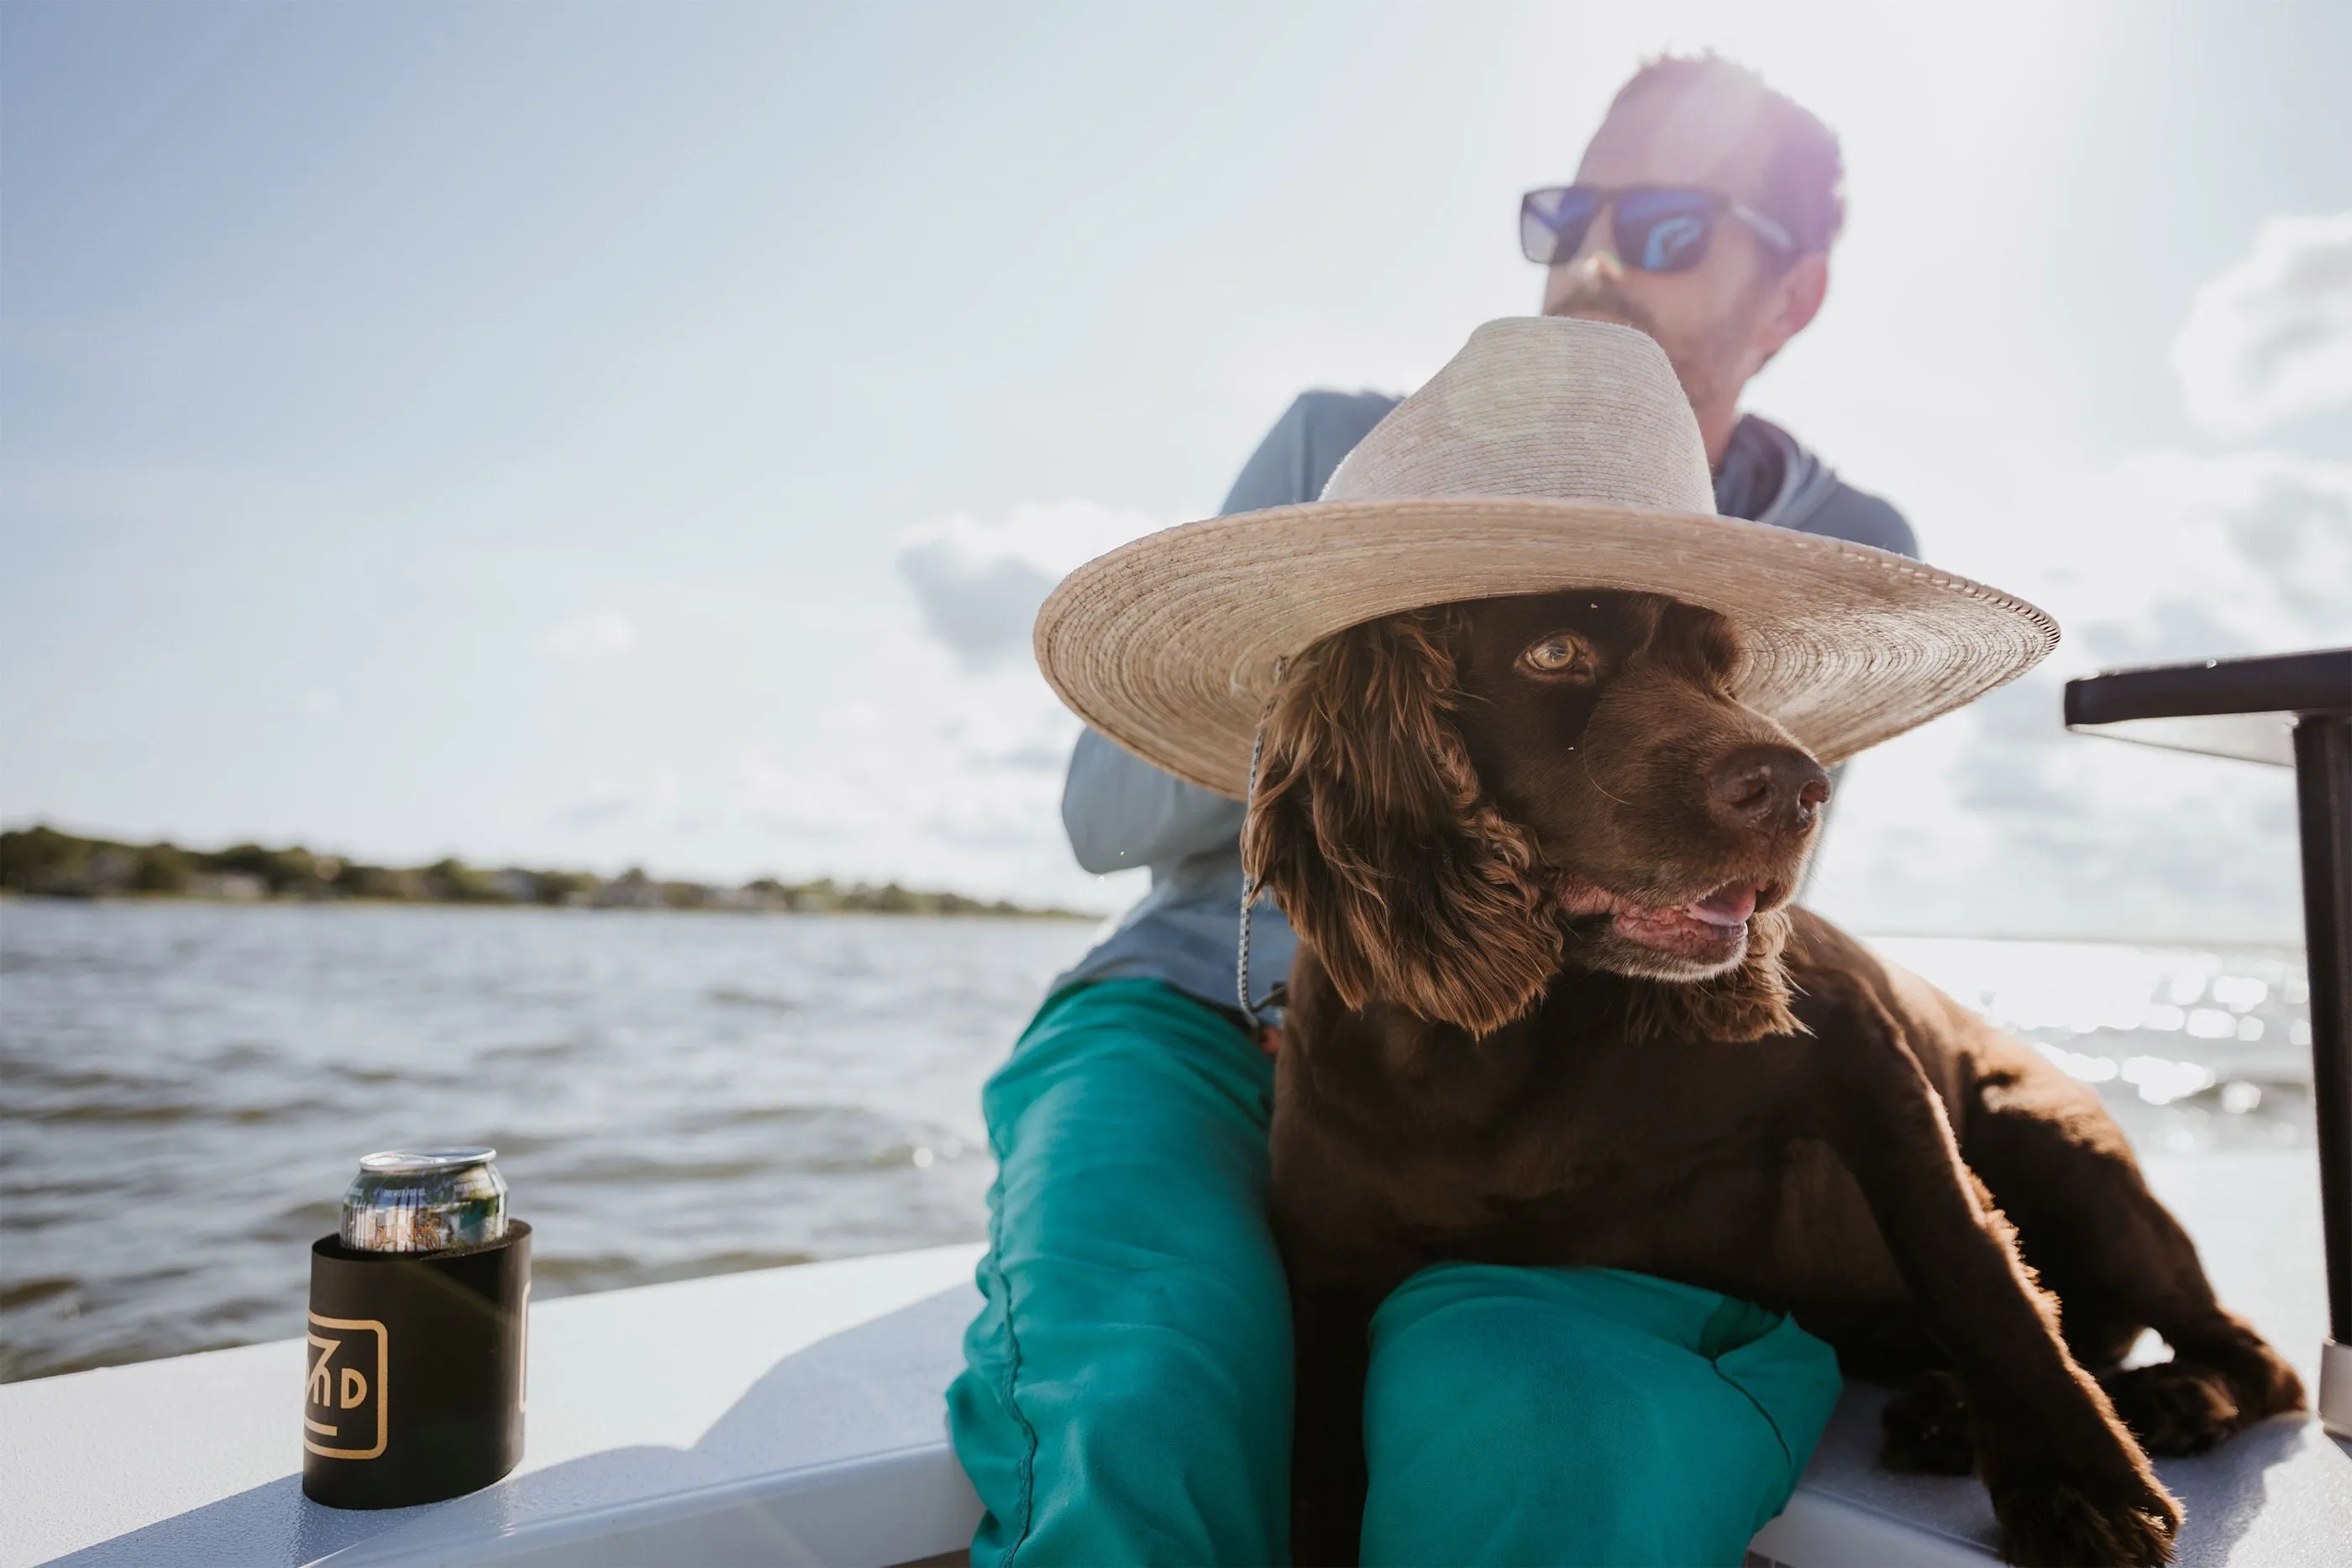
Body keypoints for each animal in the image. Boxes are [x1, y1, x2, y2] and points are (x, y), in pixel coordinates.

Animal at [1242, 587, 2305, 1568]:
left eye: (1723, 671)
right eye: (1553, 651)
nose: (1798, 789)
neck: (1493, 1046)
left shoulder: (1859, 1049)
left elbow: (1967, 1260)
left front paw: (2076, 1481)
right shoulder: (1327, 1268)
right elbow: (1313, 1481)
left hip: (2048, 1139)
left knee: (2251, 1354)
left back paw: (2169, 1399)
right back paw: (1957, 1412)